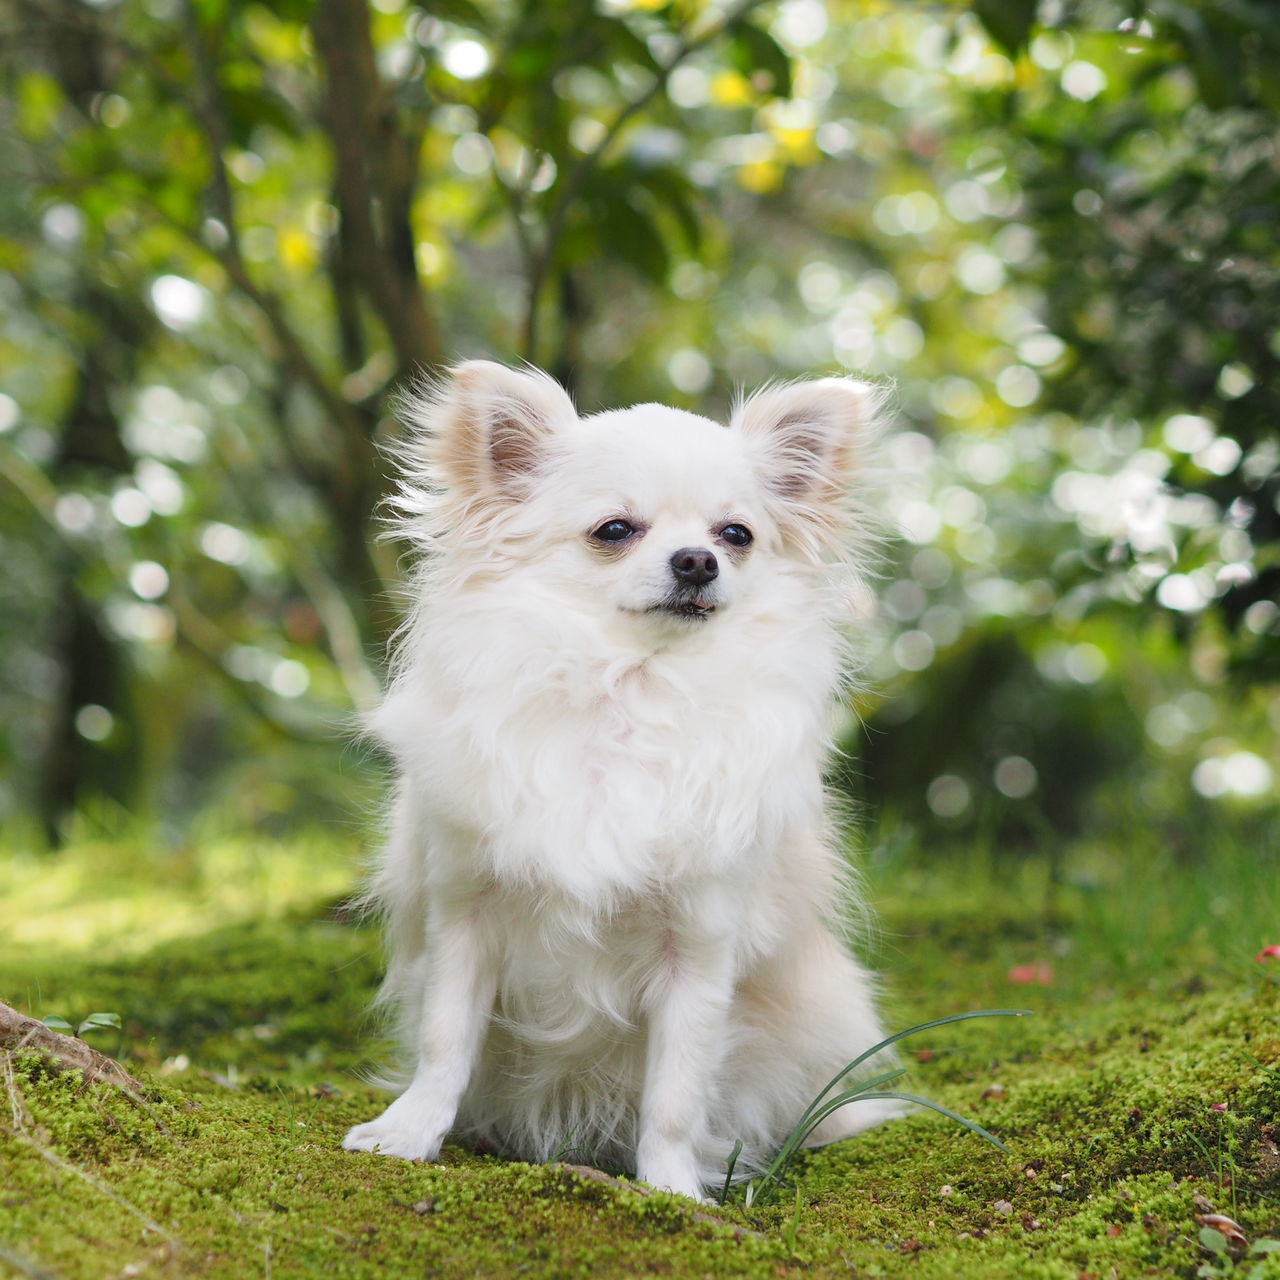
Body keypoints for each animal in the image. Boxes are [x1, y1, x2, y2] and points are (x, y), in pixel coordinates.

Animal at [343, 360, 901, 1198]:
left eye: (736, 536)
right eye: (615, 530)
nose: (697, 560)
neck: (630, 691)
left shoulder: (698, 946)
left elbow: (674, 1094)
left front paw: (673, 1193)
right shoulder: (465, 914)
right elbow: (445, 1043)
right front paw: (409, 1133)